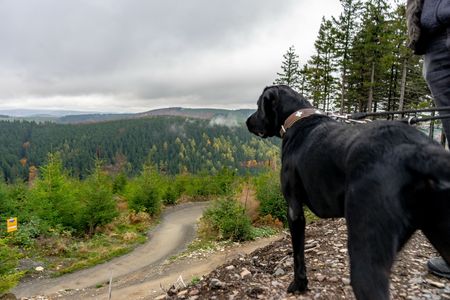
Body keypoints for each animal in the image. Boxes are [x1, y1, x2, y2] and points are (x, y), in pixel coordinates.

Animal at [246, 85, 450, 300]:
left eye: (258, 105)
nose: (247, 122)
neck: (299, 118)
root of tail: (419, 153)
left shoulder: (294, 209)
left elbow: (298, 254)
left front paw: (299, 284)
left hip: (366, 251)